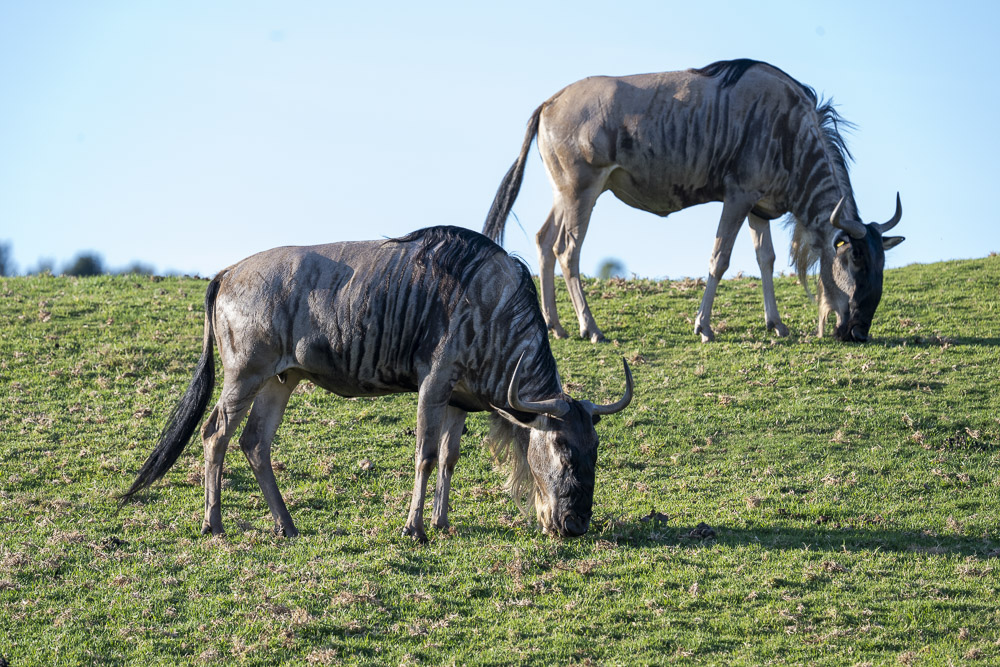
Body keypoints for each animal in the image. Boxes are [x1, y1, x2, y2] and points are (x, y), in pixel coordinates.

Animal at [119, 226, 633, 543]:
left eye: (595, 449)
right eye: (562, 448)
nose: (575, 524)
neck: (493, 306)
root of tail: (227, 272)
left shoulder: (459, 400)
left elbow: (450, 459)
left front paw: (443, 523)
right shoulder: (433, 385)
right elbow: (426, 456)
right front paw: (414, 529)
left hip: (281, 381)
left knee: (254, 443)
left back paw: (288, 526)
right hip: (244, 377)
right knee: (216, 435)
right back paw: (215, 524)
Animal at [483, 58, 904, 343]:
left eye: (881, 264)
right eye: (855, 259)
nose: (858, 332)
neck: (791, 131)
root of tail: (549, 103)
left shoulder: (759, 208)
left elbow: (765, 260)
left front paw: (777, 324)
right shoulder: (737, 197)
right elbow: (720, 258)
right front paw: (704, 327)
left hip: (566, 194)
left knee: (543, 241)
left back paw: (555, 326)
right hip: (582, 191)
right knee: (567, 250)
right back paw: (592, 328)